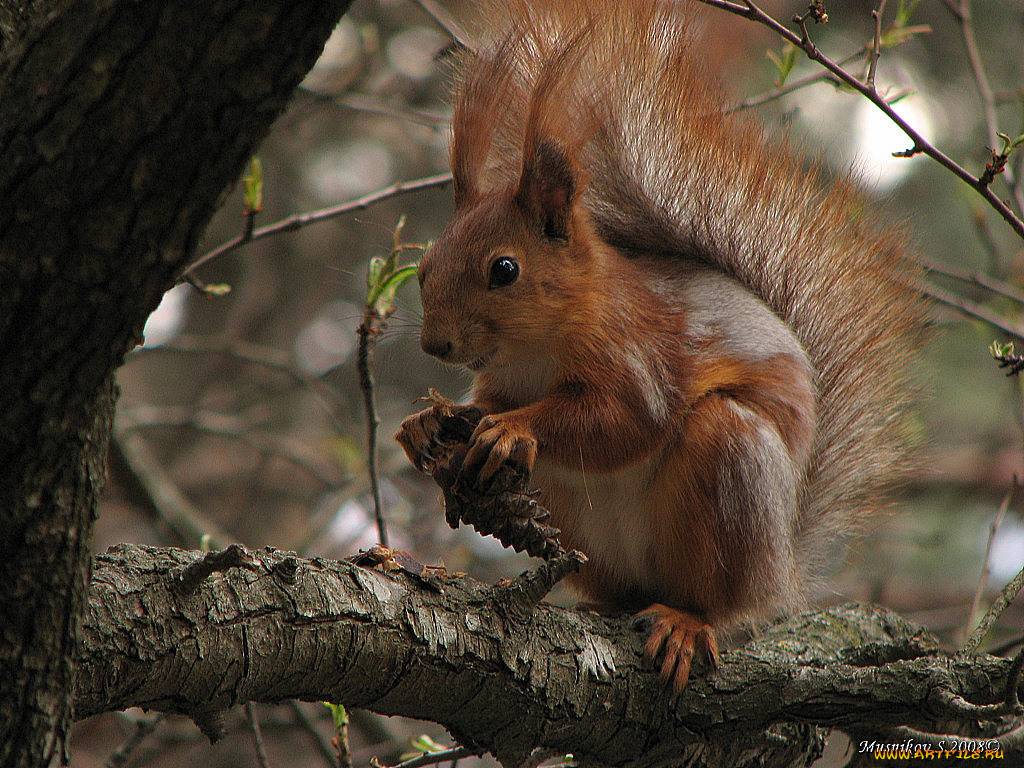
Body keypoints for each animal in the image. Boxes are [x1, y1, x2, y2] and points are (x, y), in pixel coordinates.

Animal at [395, 0, 925, 692]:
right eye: (424, 267)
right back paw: (597, 605)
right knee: (619, 589)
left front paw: (514, 429)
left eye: (504, 270)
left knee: (714, 597)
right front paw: (430, 424)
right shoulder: (502, 379)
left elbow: (625, 422)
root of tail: (780, 569)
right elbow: (480, 406)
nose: (436, 345)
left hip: (731, 469)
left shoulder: (639, 355)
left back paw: (686, 622)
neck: (538, 351)